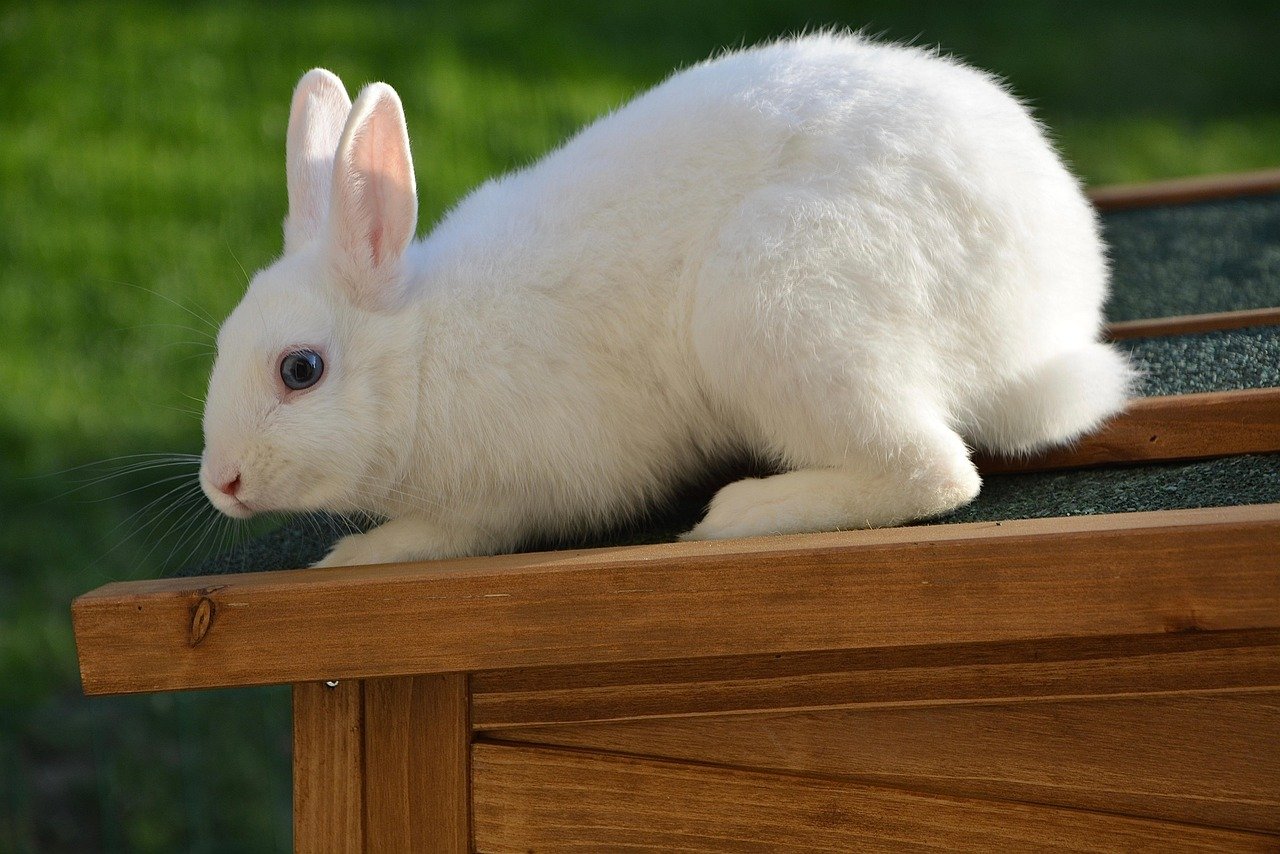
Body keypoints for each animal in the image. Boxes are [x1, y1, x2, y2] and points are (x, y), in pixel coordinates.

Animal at [199, 32, 1132, 568]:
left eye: (301, 370)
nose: (223, 483)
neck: (425, 350)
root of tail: (1039, 335)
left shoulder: (507, 498)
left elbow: (445, 538)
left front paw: (354, 555)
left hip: (776, 307)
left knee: (935, 473)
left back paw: (741, 515)